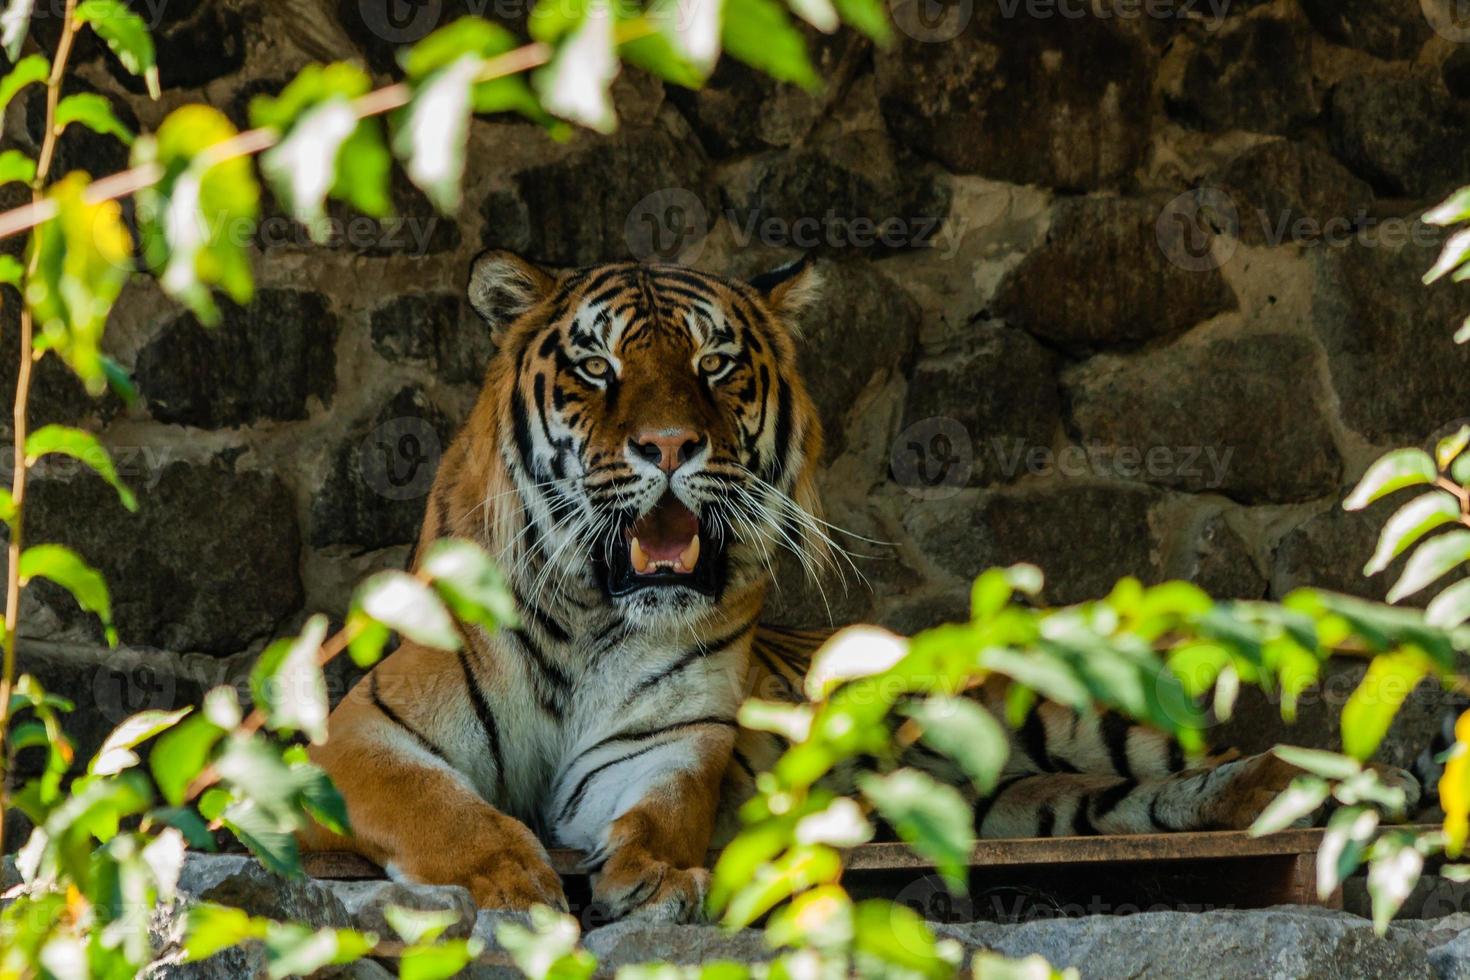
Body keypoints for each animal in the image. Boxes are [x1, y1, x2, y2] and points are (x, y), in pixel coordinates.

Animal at [304, 249, 1417, 922]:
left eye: (716, 366)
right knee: (1128, 801)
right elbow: (431, 801)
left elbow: (662, 811)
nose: (669, 446)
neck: (593, 615)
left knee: (1214, 755)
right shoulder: (362, 732)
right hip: (1041, 807)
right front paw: (504, 873)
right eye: (597, 369)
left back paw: (1343, 788)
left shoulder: (663, 747)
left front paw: (655, 874)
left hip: (1072, 708)